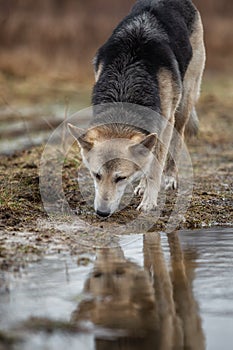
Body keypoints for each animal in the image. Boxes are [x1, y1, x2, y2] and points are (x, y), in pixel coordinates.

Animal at [68, 0, 205, 217]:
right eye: (96, 175)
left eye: (120, 178)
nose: (102, 213)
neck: (127, 80)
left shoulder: (164, 125)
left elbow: (155, 169)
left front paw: (149, 202)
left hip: (184, 103)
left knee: (178, 139)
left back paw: (170, 178)